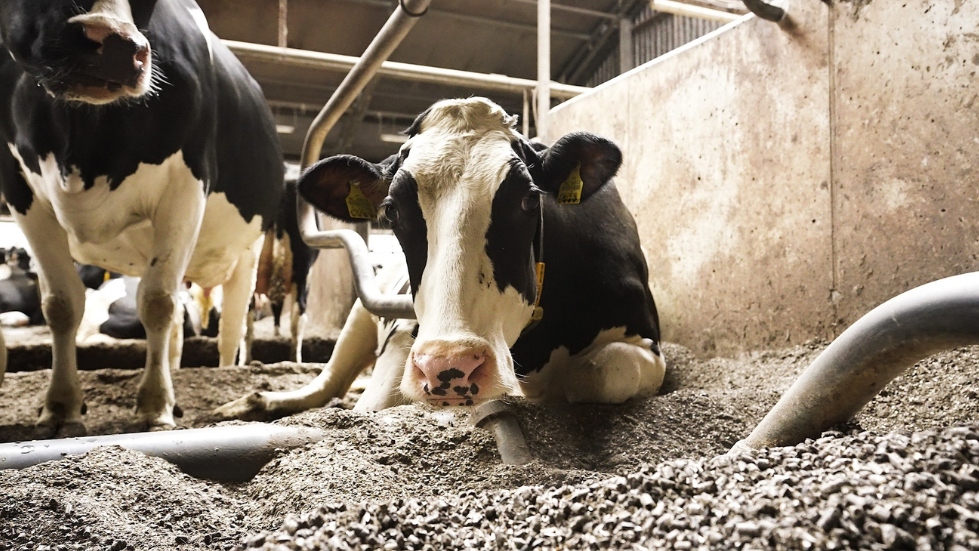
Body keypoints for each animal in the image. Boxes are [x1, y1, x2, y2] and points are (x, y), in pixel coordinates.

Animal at [0, 0, 283, 436]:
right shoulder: (19, 188)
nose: (115, 46)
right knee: (179, 333)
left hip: (248, 251)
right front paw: (61, 407)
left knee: (230, 329)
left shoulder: (186, 184)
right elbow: (61, 304)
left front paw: (153, 406)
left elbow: (157, 301)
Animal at [215, 97, 665, 418]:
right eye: (392, 209)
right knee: (327, 384)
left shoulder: (647, 344)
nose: (451, 365)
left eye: (528, 199)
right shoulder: (405, 342)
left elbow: (599, 372)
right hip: (361, 314)